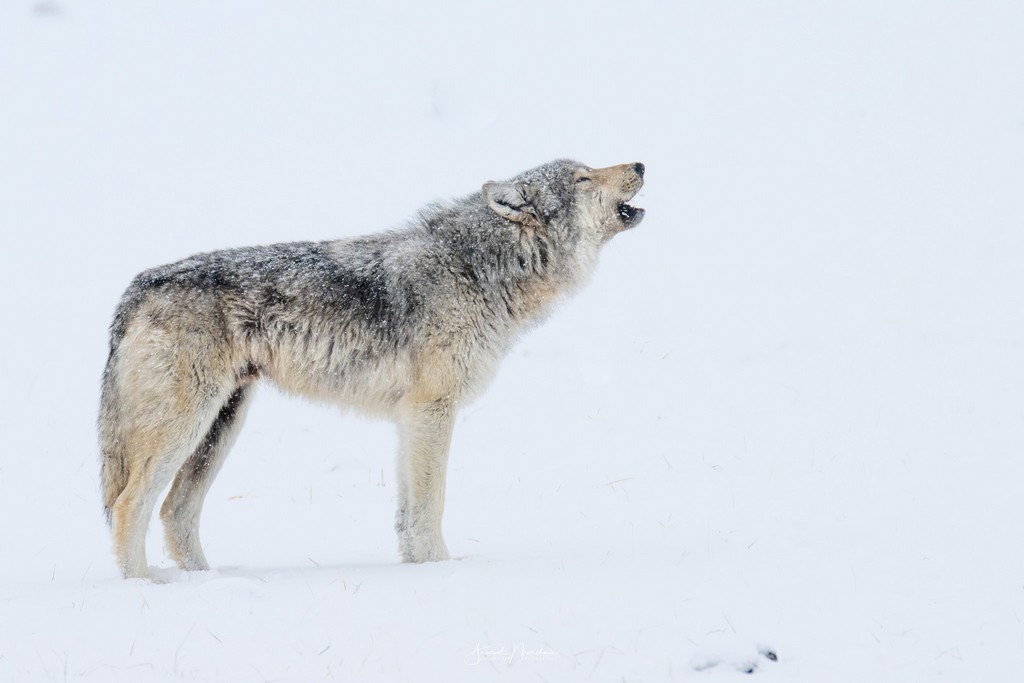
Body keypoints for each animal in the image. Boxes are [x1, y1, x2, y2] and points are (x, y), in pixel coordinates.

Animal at [101, 158, 647, 577]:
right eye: (582, 178)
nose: (640, 164)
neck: (477, 269)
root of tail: (135, 287)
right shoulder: (433, 409)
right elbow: (430, 506)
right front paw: (442, 572)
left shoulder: (410, 418)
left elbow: (407, 515)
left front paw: (416, 571)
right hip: (186, 426)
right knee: (130, 505)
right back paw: (144, 587)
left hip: (221, 426)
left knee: (175, 512)